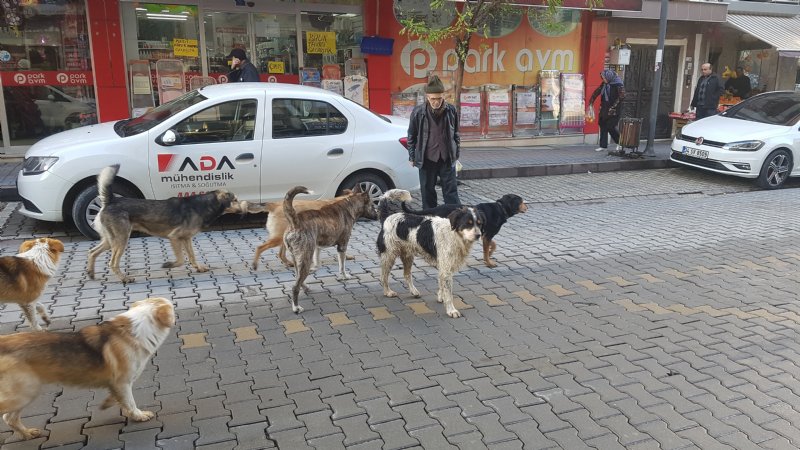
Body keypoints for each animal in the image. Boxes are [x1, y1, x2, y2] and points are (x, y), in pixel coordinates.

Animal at [0, 296, 174, 440]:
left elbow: (119, 400)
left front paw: (111, 404)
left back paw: (27, 433)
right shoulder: (123, 382)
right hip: (24, 393)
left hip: (25, 393)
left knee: (10, 418)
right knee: (7, 416)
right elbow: (130, 402)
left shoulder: (117, 385)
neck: (136, 328)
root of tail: (4, 342)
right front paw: (138, 415)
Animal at [87, 163, 239, 284]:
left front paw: (199, 268)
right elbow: (181, 260)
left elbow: (192, 256)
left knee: (92, 252)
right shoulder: (174, 237)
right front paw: (168, 264)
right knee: (112, 263)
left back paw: (91, 273)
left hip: (111, 241)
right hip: (121, 240)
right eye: (235, 200)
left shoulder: (186, 238)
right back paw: (125, 278)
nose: (243, 207)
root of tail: (111, 200)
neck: (203, 205)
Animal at [284, 184, 378, 312]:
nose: (378, 215)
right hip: (305, 259)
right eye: (372, 205)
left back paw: (305, 287)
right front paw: (345, 276)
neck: (350, 205)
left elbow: (319, 260)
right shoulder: (342, 246)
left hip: (296, 258)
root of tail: (295, 222)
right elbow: (342, 266)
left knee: (298, 277)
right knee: (295, 286)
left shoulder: (319, 247)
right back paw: (296, 307)